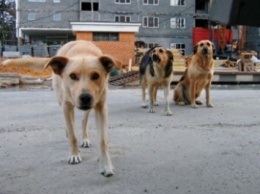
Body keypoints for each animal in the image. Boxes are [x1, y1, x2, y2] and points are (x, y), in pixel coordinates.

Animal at [2, 41, 122, 177]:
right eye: (73, 76)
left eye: (96, 75)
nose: (85, 97)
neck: (83, 53)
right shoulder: (66, 105)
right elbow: (73, 135)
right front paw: (74, 154)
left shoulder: (101, 107)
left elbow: (102, 141)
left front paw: (106, 165)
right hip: (62, 101)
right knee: (70, 124)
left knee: (83, 121)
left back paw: (85, 138)